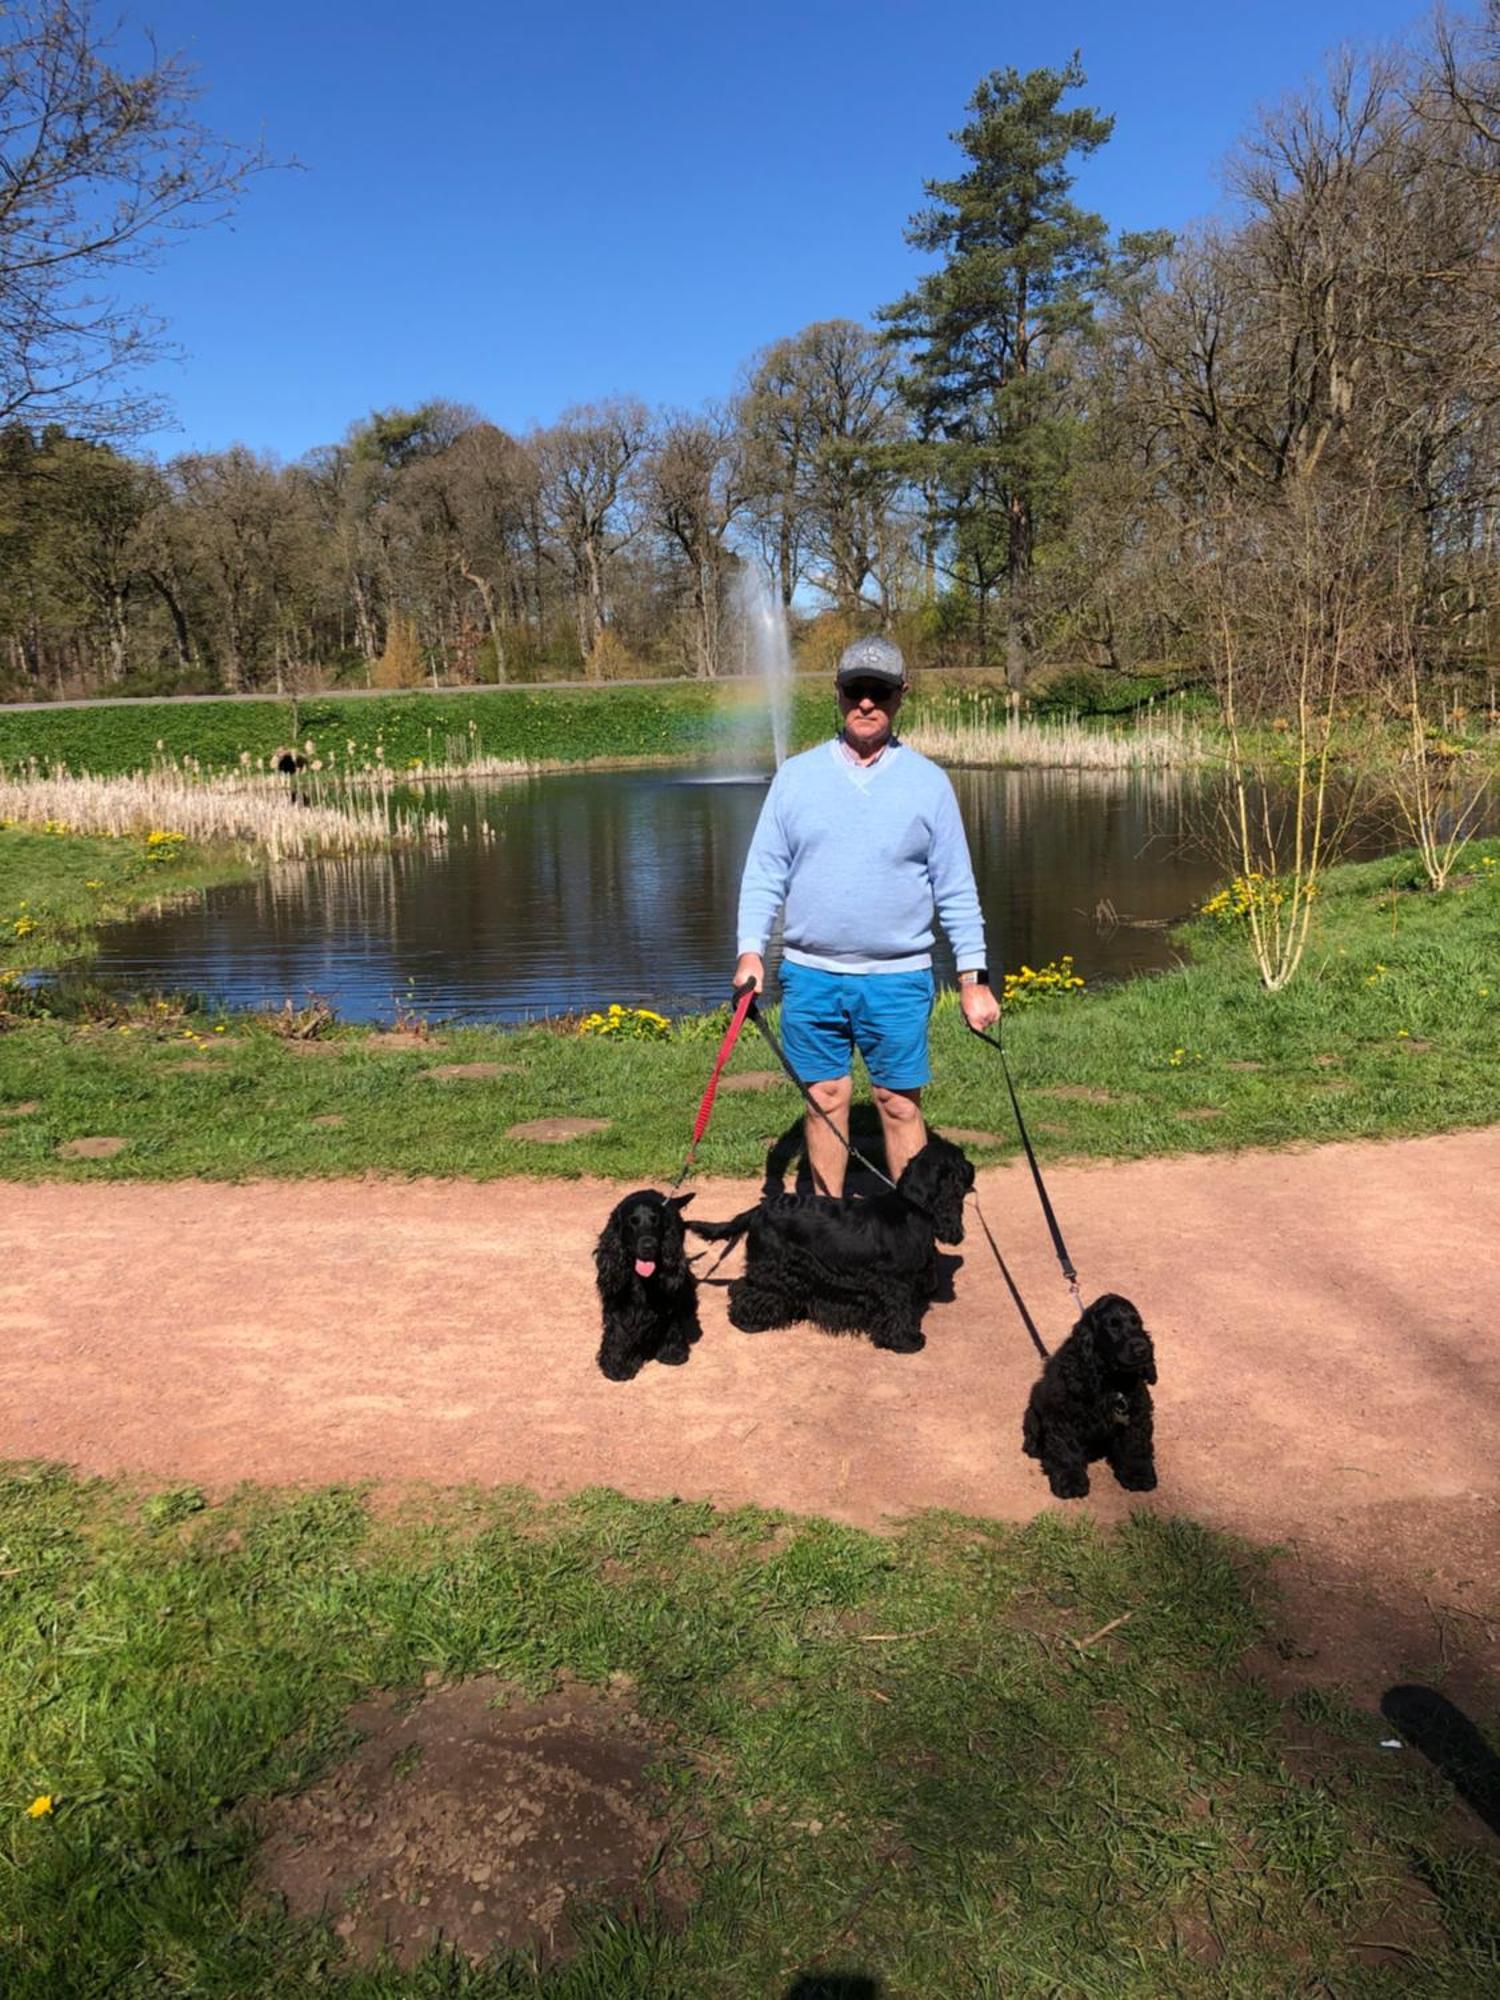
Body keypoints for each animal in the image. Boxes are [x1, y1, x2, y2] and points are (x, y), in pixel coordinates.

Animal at [592, 1184, 704, 1376]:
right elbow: (618, 1328)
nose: (648, 1246)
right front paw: (617, 1365)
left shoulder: (667, 1295)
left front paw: (672, 1352)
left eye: (655, 1221)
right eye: (632, 1221)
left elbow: (671, 1320)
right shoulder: (618, 1298)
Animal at [692, 1136, 980, 1352]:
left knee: (742, 1285)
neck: (912, 1206)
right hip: (773, 1267)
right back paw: (748, 1322)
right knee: (752, 1291)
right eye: (961, 1159)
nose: (973, 1165)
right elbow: (898, 1311)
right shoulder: (895, 1281)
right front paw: (907, 1341)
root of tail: (758, 1210)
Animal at [1024, 1296, 1160, 1504]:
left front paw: (1139, 1475)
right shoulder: (1062, 1417)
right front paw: (1070, 1483)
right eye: (1112, 1325)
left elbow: (1136, 1445)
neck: (1111, 1380)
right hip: (1033, 1412)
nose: (1143, 1349)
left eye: (1137, 1322)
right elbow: (1066, 1450)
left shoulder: (1137, 1413)